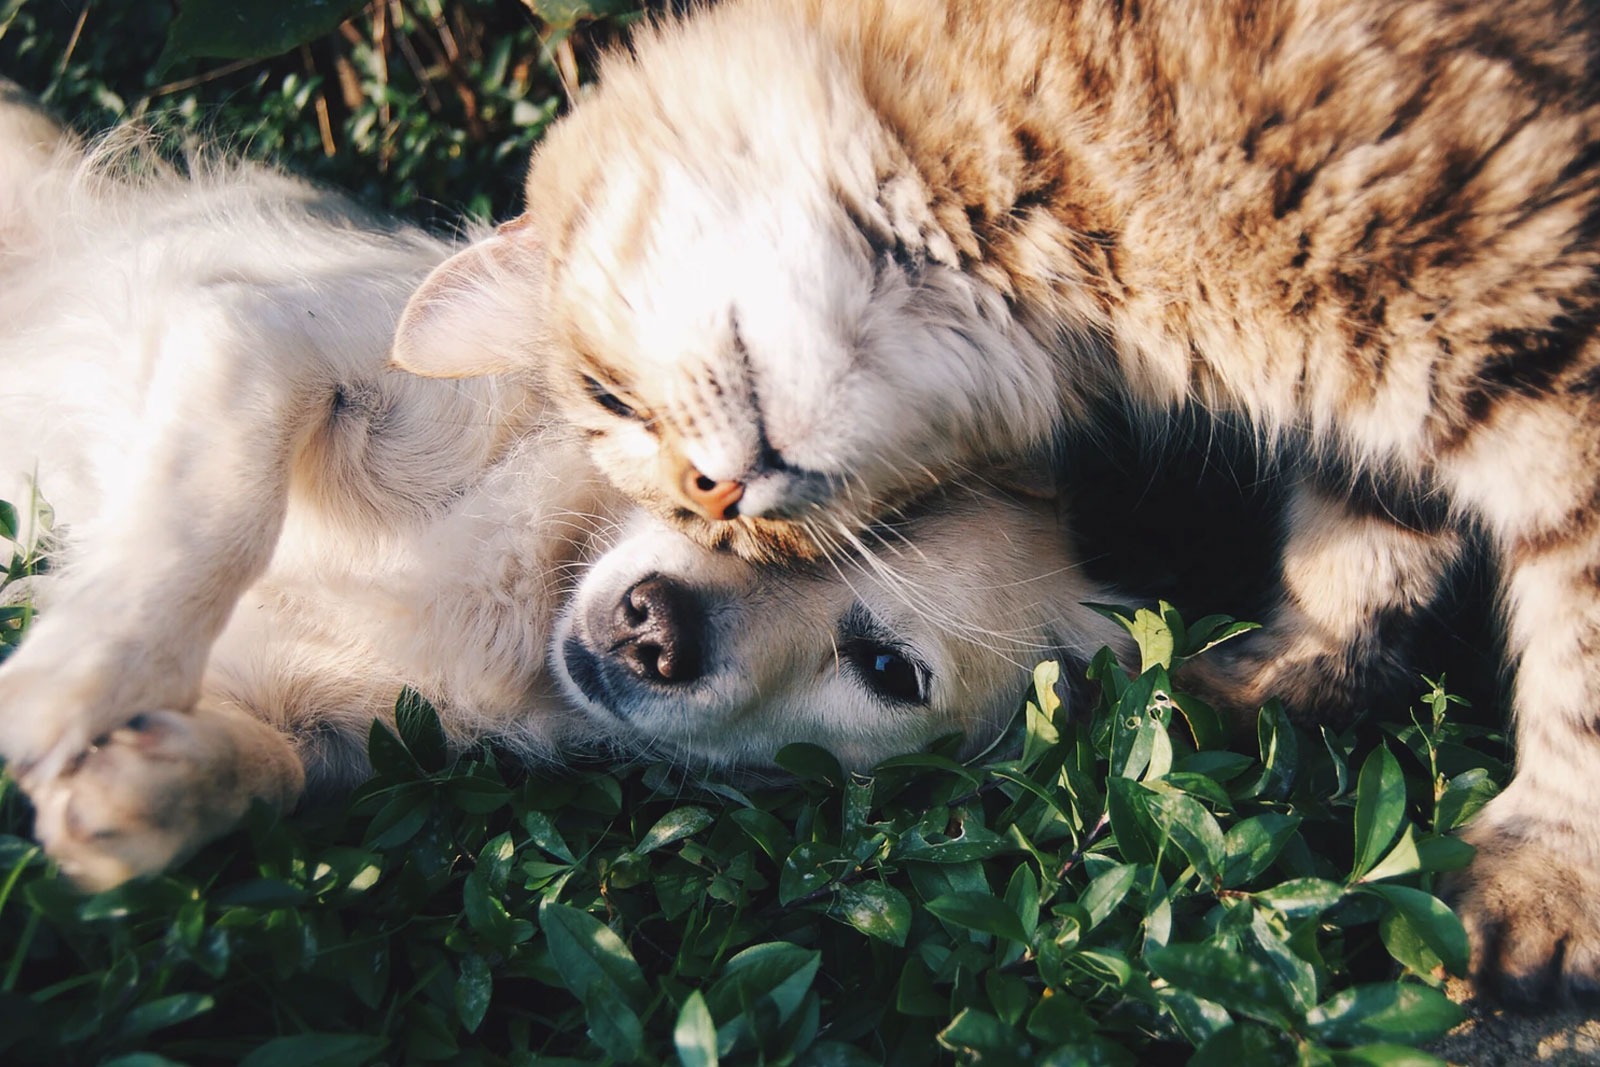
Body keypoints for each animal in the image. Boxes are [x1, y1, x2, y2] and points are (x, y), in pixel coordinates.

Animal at [0, 93, 1126, 895]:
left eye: (889, 670)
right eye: (718, 486)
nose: (653, 627)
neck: (533, 581)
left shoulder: (337, 724)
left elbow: (274, 769)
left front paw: (151, 787)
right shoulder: (261, 337)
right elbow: (213, 514)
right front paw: (76, 676)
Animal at [390, 0, 1600, 1004]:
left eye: (607, 397)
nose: (716, 495)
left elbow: (1576, 648)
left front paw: (1549, 874)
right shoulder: (1380, 401)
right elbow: (1359, 549)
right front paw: (1269, 686)